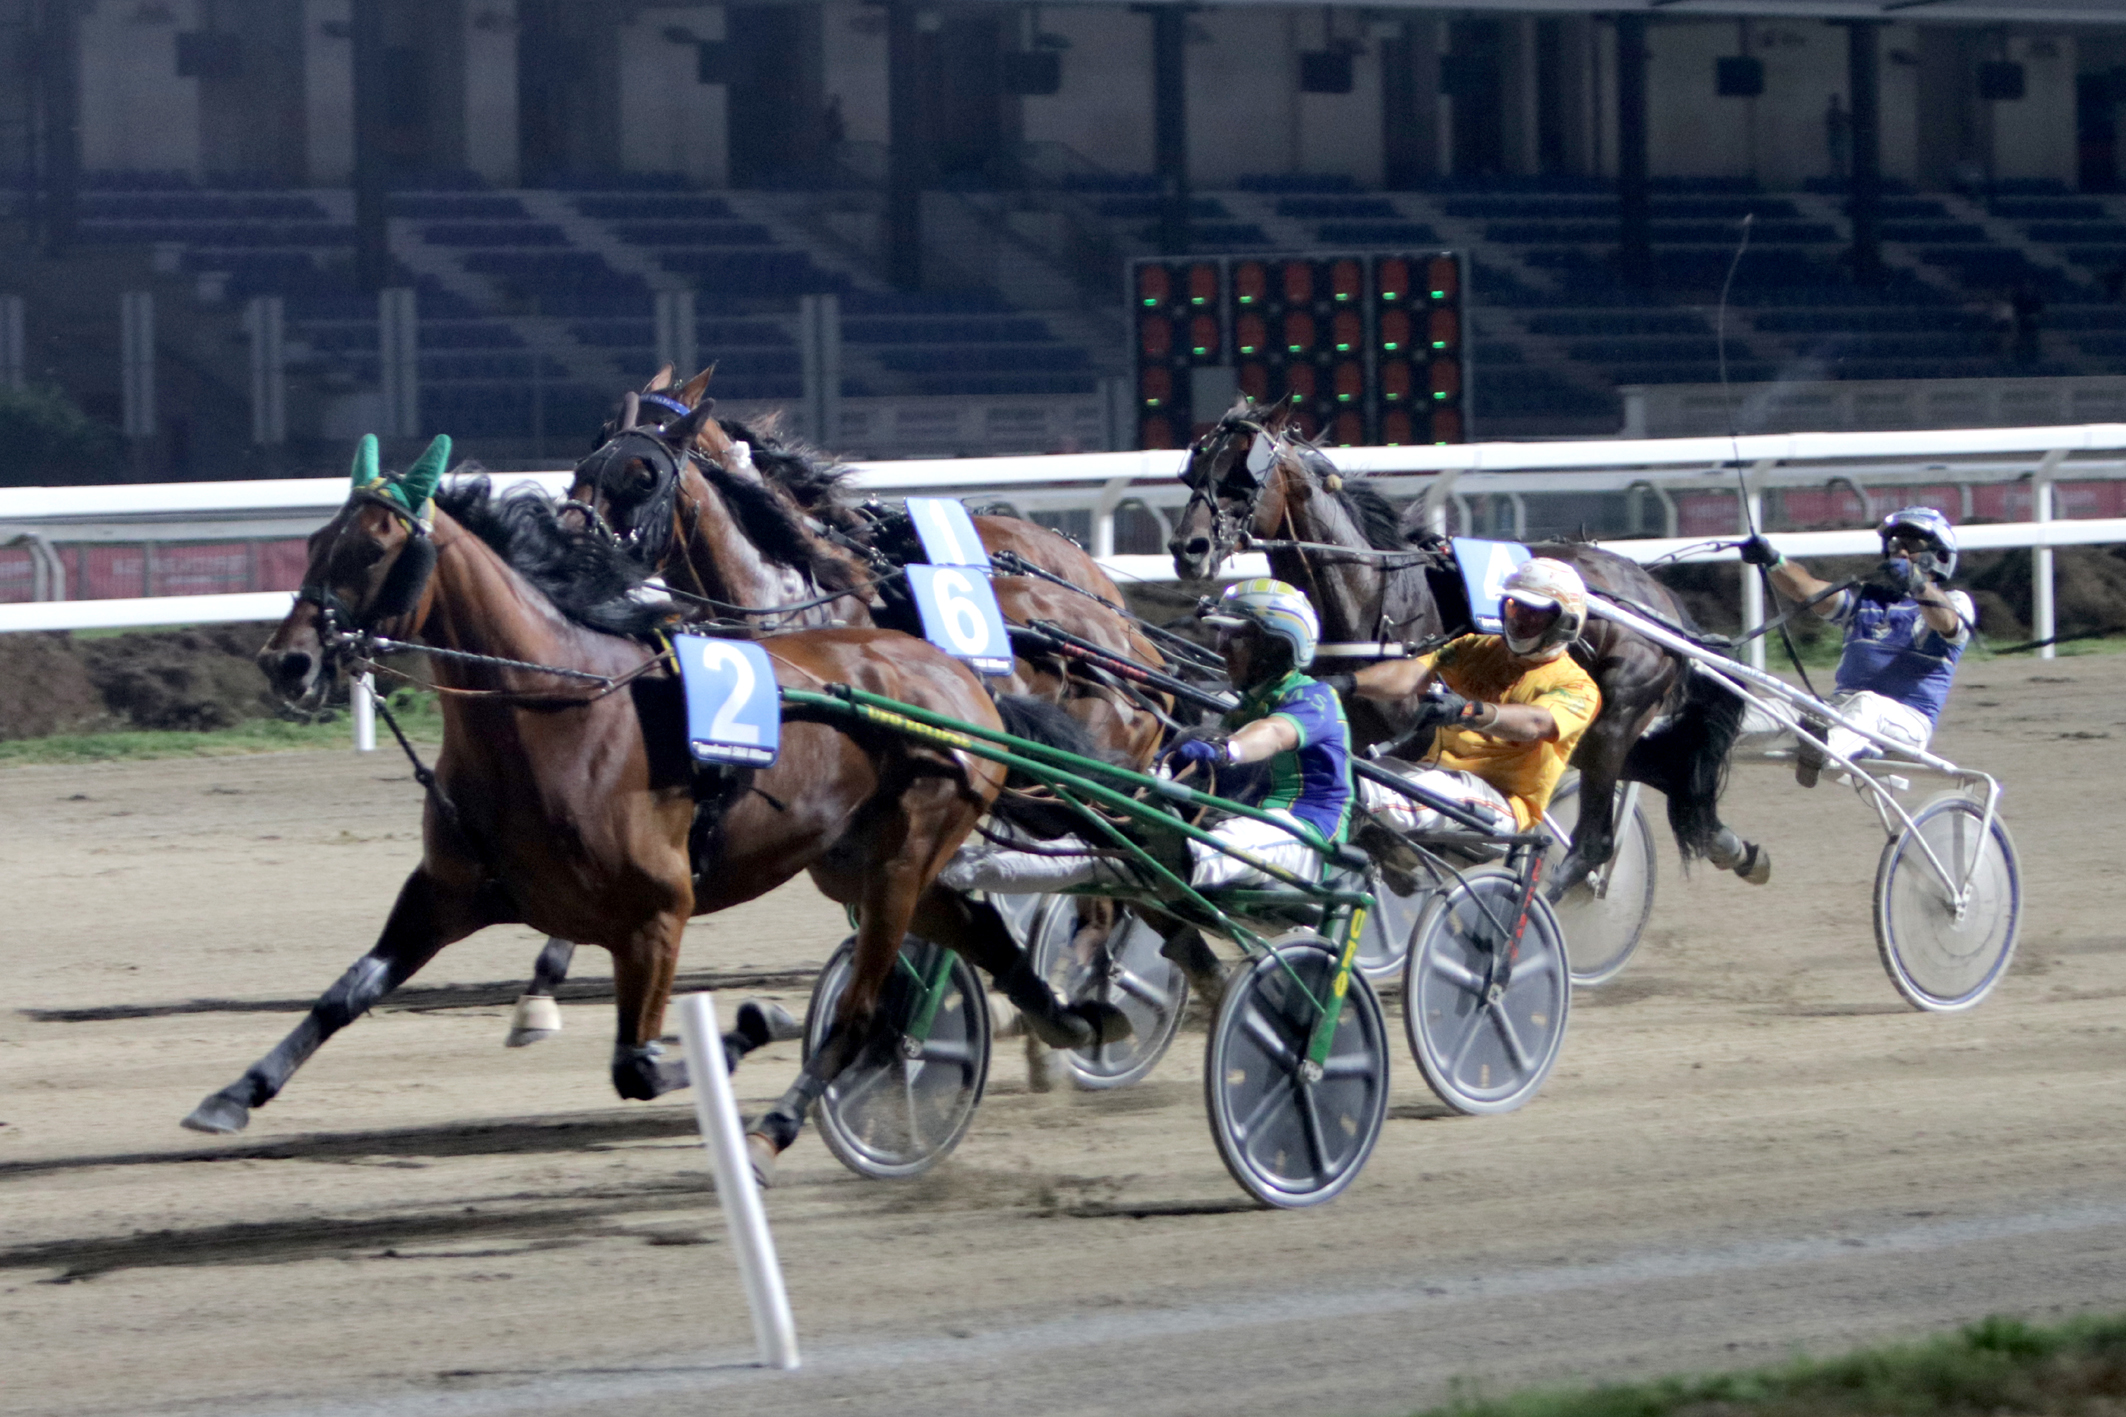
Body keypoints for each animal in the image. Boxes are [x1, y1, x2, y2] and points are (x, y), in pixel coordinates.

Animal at [182, 433, 1122, 1172]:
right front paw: (232, 1093)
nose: (289, 661)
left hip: (901, 857)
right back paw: (1072, 1018)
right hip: (859, 861)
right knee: (977, 933)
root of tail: (962, 676)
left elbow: (637, 1063)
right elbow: (346, 992)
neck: (556, 710)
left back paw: (775, 1128)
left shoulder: (657, 914)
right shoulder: (448, 890)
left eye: (375, 547)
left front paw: (758, 1018)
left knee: (862, 1013)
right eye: (315, 539)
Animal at [1165, 399, 1760, 905]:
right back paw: (1733, 846)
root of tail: (1661, 598)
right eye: (1194, 472)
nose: (1187, 549)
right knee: (1669, 770)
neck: (1373, 599)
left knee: (1594, 838)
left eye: (1242, 476)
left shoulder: (1414, 742)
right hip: (1602, 735)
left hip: (1615, 716)